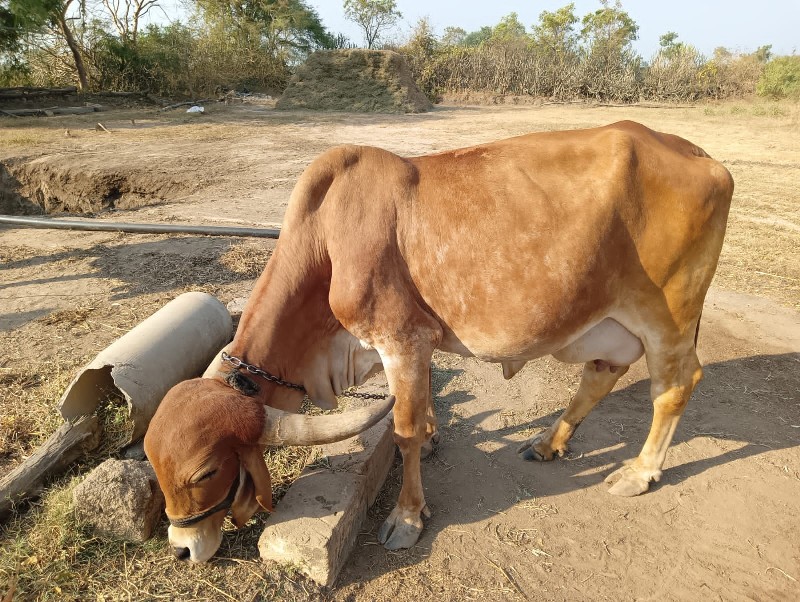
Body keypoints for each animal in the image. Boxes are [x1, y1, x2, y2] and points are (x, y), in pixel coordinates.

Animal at [142, 119, 732, 560]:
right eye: (152, 467)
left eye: (206, 471)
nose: (181, 547)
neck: (327, 242)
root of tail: (701, 155)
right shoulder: (418, 343)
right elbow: (422, 407)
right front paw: (431, 436)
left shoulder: (400, 338)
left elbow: (401, 432)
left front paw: (407, 517)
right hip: (613, 324)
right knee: (601, 375)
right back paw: (548, 443)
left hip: (670, 316)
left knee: (676, 386)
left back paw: (639, 472)